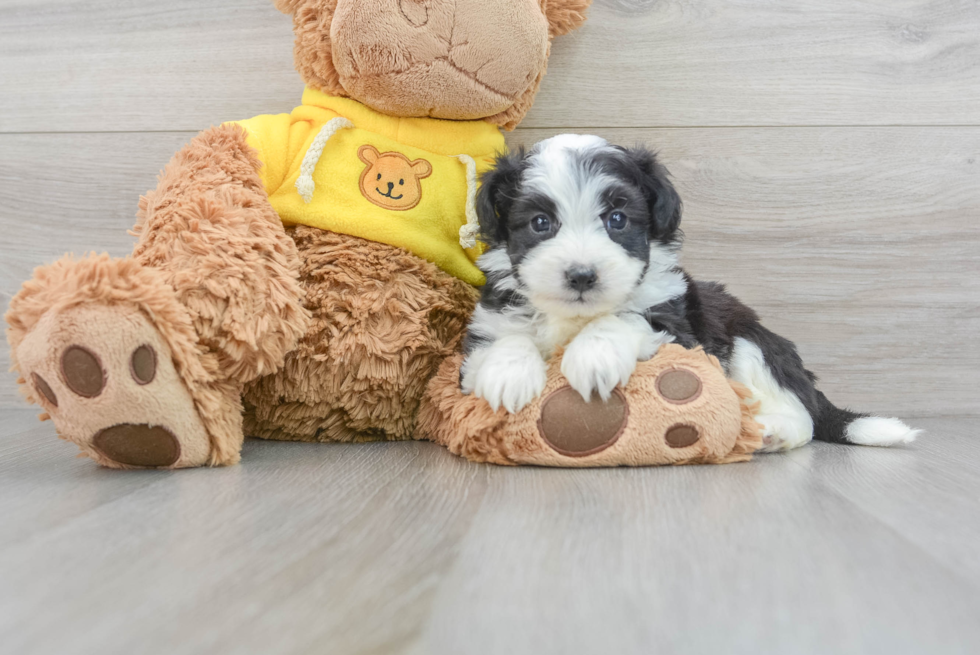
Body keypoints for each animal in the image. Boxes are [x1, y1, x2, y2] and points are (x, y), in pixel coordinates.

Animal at [460, 133, 920, 452]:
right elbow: (504, 339)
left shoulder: (679, 329)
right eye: (540, 223)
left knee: (803, 417)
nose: (582, 275)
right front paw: (508, 374)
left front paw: (594, 355)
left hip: (750, 344)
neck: (577, 317)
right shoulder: (482, 331)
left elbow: (626, 317)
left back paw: (769, 432)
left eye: (617, 219)